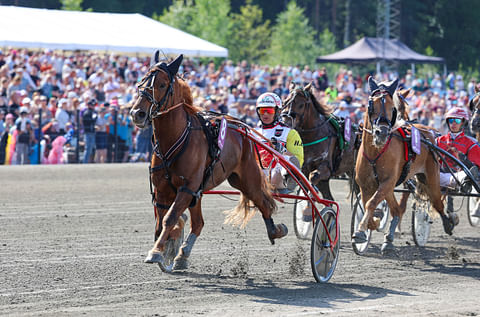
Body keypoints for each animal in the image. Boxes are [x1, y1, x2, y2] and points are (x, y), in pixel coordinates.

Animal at [129, 52, 286, 270]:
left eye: (161, 84)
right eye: (141, 81)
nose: (138, 113)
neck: (175, 138)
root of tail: (240, 128)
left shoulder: (187, 188)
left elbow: (170, 218)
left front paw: (156, 251)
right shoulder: (163, 190)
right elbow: (163, 221)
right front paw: (168, 247)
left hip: (246, 178)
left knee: (263, 201)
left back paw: (276, 230)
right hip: (202, 190)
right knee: (198, 223)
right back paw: (182, 255)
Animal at [350, 76, 456, 252]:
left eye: (391, 107)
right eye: (372, 104)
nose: (382, 133)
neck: (375, 152)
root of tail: (428, 132)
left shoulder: (387, 182)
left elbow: (371, 203)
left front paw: (362, 229)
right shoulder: (366, 185)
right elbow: (367, 204)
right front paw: (369, 226)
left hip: (431, 178)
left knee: (437, 202)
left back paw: (449, 223)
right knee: (397, 210)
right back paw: (388, 238)